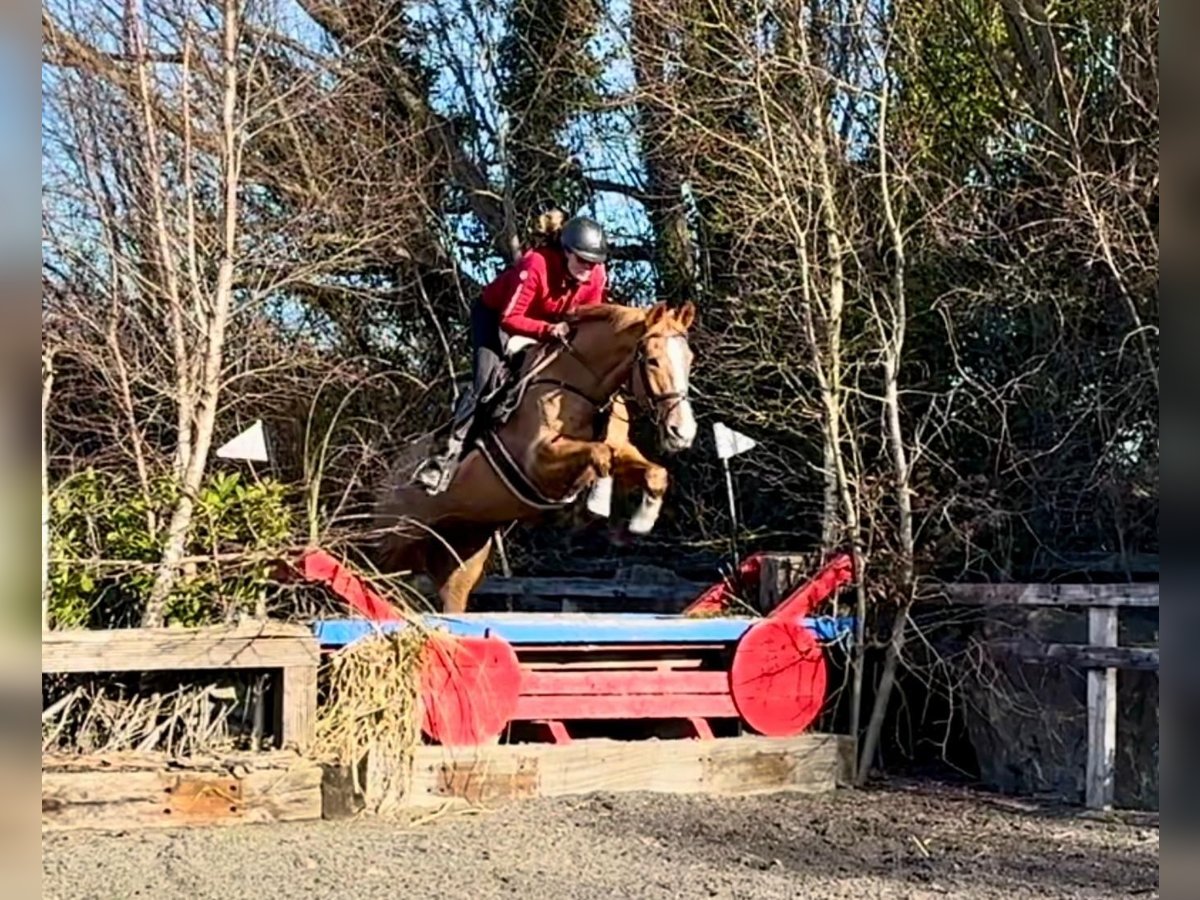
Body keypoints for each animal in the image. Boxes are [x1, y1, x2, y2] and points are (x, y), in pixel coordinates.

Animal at [369, 301, 700, 614]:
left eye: (689, 360)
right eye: (653, 360)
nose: (682, 432)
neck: (580, 384)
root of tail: (391, 472)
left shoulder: (621, 450)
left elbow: (652, 471)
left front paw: (642, 522)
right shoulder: (537, 461)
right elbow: (599, 454)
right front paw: (598, 502)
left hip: (460, 554)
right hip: (390, 539)